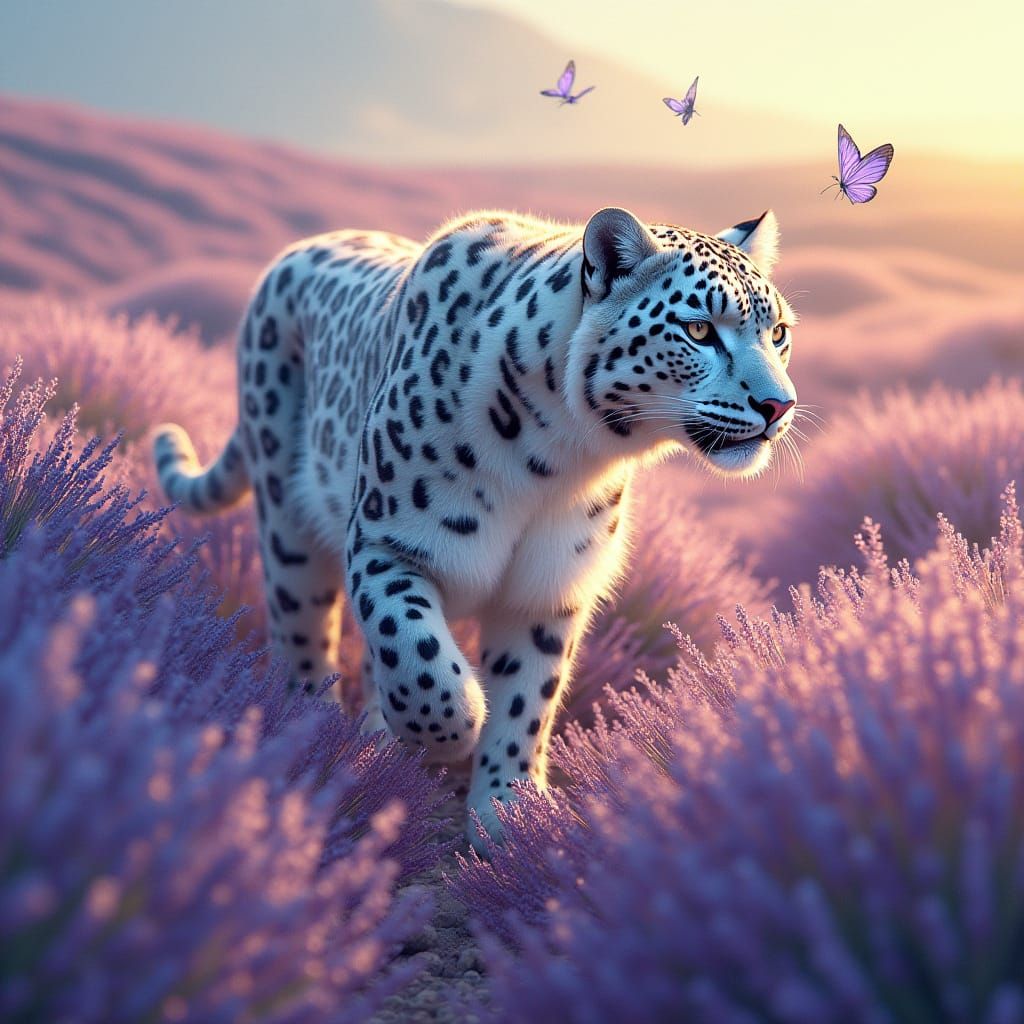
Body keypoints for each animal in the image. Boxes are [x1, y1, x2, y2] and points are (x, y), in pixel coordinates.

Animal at [154, 206, 798, 848]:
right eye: (699, 331)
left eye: (778, 334)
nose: (779, 406)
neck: (563, 456)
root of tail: (294, 254)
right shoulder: (387, 543)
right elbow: (415, 652)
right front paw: (448, 731)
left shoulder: (546, 590)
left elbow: (527, 700)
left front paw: (510, 817)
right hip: (288, 527)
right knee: (303, 634)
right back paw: (312, 737)